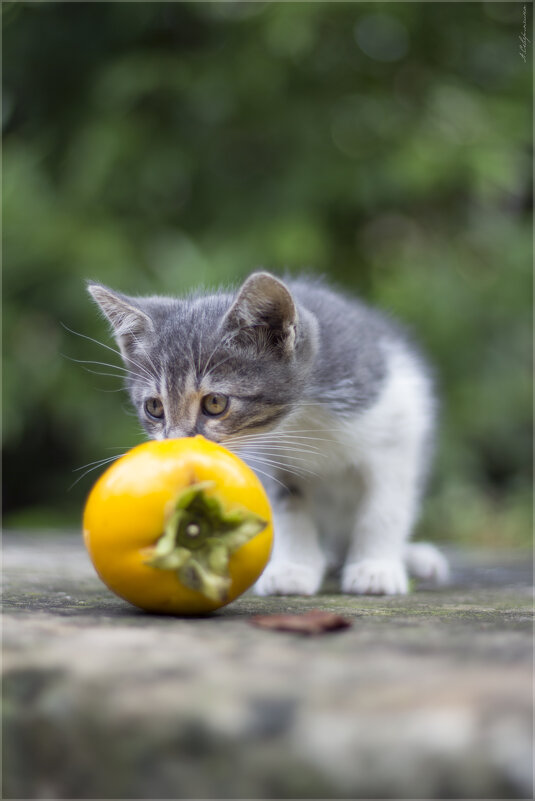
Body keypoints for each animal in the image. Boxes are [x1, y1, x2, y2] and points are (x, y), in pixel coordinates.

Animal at [87, 276, 448, 592]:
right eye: (155, 407)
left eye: (215, 403)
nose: (178, 445)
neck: (301, 420)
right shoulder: (267, 459)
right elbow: (289, 509)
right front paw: (294, 569)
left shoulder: (398, 425)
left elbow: (384, 507)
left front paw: (376, 568)